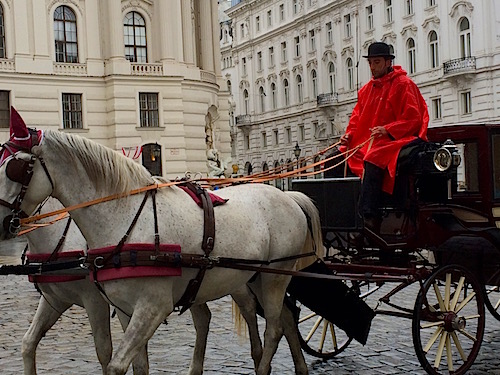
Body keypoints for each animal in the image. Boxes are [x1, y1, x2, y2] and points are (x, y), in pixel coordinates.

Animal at [0, 126, 320, 375]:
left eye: (14, 169)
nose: (1, 222)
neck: (125, 216)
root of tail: (287, 195)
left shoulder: (146, 306)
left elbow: (112, 361)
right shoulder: (112, 306)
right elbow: (133, 364)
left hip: (274, 277)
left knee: (272, 327)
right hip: (244, 277)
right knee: (280, 318)